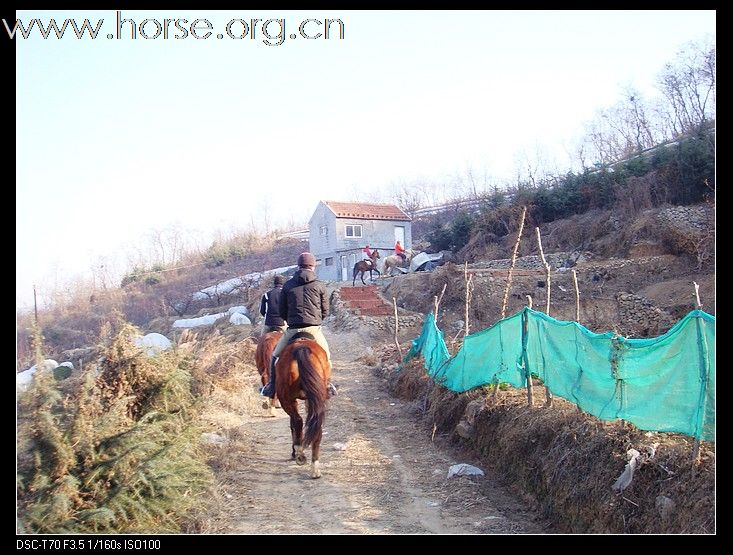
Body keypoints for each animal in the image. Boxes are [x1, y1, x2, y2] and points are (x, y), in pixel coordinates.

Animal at [276, 336, 330, 480]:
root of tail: (301, 348)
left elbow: (293, 425)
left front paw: (294, 452)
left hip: (286, 399)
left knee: (298, 420)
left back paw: (300, 453)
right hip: (317, 399)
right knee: (317, 425)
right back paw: (315, 468)